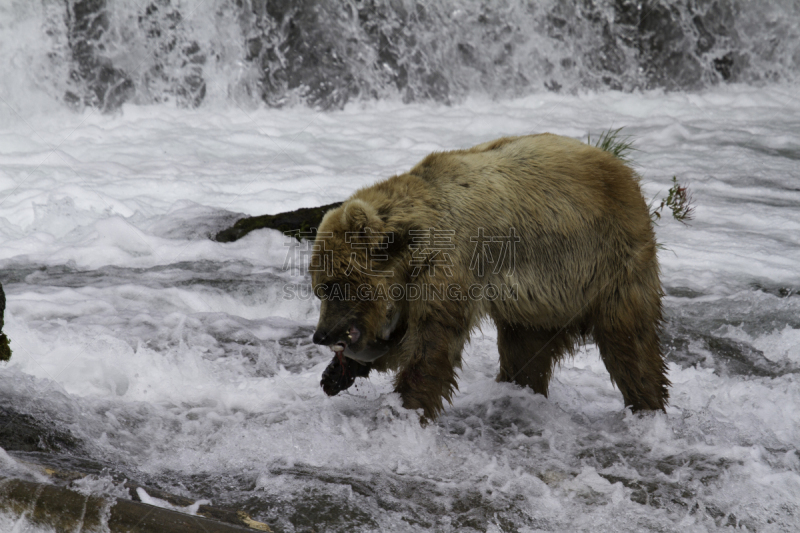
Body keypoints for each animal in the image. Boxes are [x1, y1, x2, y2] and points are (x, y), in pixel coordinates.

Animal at [312, 132, 668, 420]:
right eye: (320, 289)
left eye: (333, 287)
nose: (321, 335)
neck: (413, 247)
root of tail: (624, 170)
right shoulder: (415, 285)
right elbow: (403, 338)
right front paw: (336, 375)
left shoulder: (451, 266)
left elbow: (430, 343)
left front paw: (404, 407)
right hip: (540, 302)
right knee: (525, 351)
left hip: (606, 263)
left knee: (629, 341)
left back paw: (646, 404)